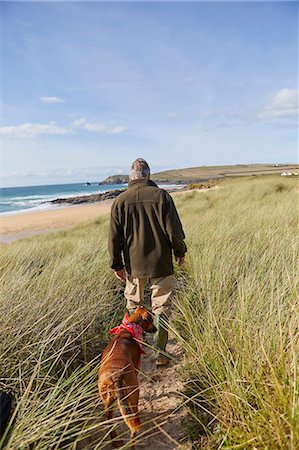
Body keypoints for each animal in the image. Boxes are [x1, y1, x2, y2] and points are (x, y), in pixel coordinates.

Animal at [99, 306, 158, 446]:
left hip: (106, 403)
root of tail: (116, 376)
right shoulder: (136, 367)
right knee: (133, 425)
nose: (156, 329)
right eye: (151, 320)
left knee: (110, 421)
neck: (128, 329)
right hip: (133, 397)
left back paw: (115, 441)